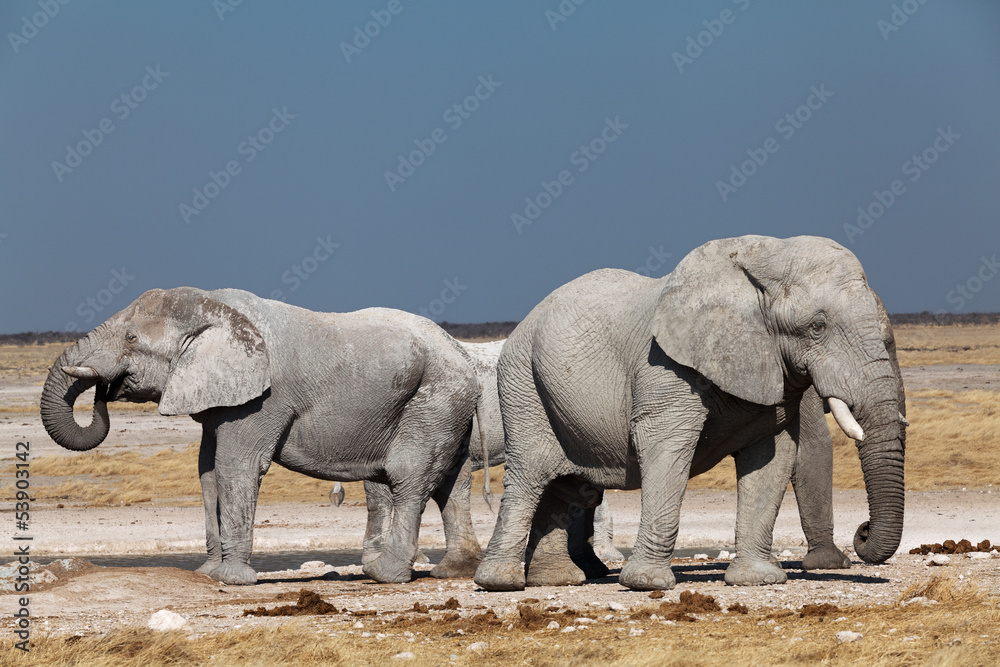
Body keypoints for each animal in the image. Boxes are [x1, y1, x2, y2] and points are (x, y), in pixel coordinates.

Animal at [40, 287, 488, 585]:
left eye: (131, 338)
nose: (103, 391)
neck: (215, 307)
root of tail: (461, 352)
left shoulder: (264, 398)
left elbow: (236, 467)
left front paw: (232, 579)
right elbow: (207, 472)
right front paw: (208, 572)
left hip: (436, 396)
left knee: (408, 474)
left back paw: (385, 574)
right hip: (445, 403)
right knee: (451, 482)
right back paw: (452, 571)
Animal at [474, 235, 907, 591]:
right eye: (817, 326)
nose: (863, 531)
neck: (761, 258)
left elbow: (771, 457)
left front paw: (757, 581)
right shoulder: (665, 367)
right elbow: (666, 445)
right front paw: (647, 584)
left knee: (561, 485)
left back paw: (558, 580)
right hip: (521, 382)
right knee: (530, 474)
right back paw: (500, 583)